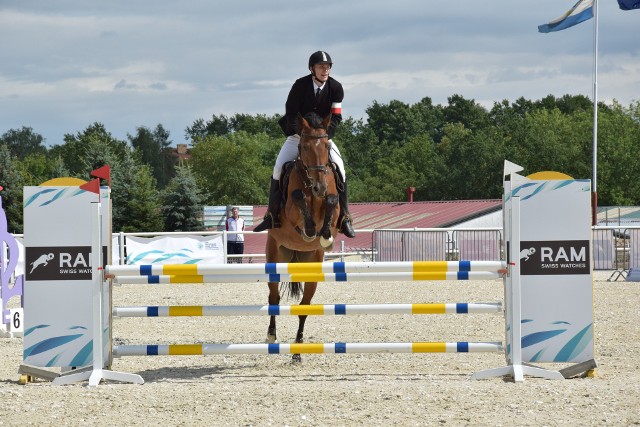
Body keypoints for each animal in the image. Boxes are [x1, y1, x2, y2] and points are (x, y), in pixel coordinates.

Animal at [264, 112, 340, 362]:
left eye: (326, 146)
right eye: (304, 147)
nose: (319, 187)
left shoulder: (332, 203)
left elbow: (333, 201)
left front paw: (324, 235)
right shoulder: (291, 210)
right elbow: (298, 198)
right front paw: (309, 229)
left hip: (312, 266)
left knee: (304, 305)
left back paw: (297, 350)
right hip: (275, 256)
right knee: (274, 298)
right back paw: (271, 335)